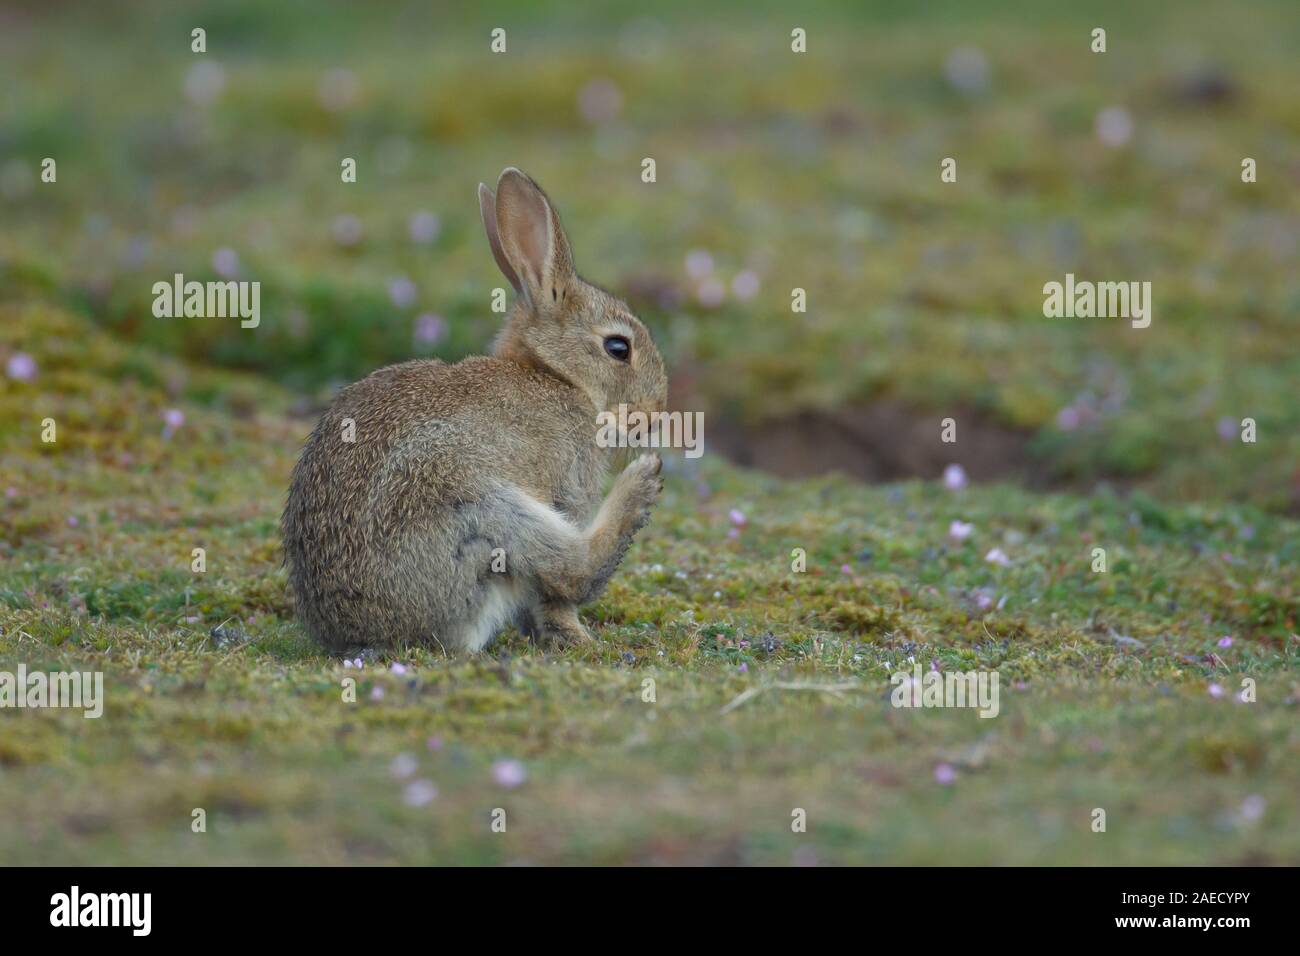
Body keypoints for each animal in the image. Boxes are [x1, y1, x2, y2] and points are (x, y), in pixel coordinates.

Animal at [284, 167, 670, 655]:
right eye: (618, 348)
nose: (657, 412)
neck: (558, 376)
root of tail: (364, 630)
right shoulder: (568, 485)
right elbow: (556, 594)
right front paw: (574, 635)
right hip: (474, 506)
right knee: (573, 566)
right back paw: (641, 485)